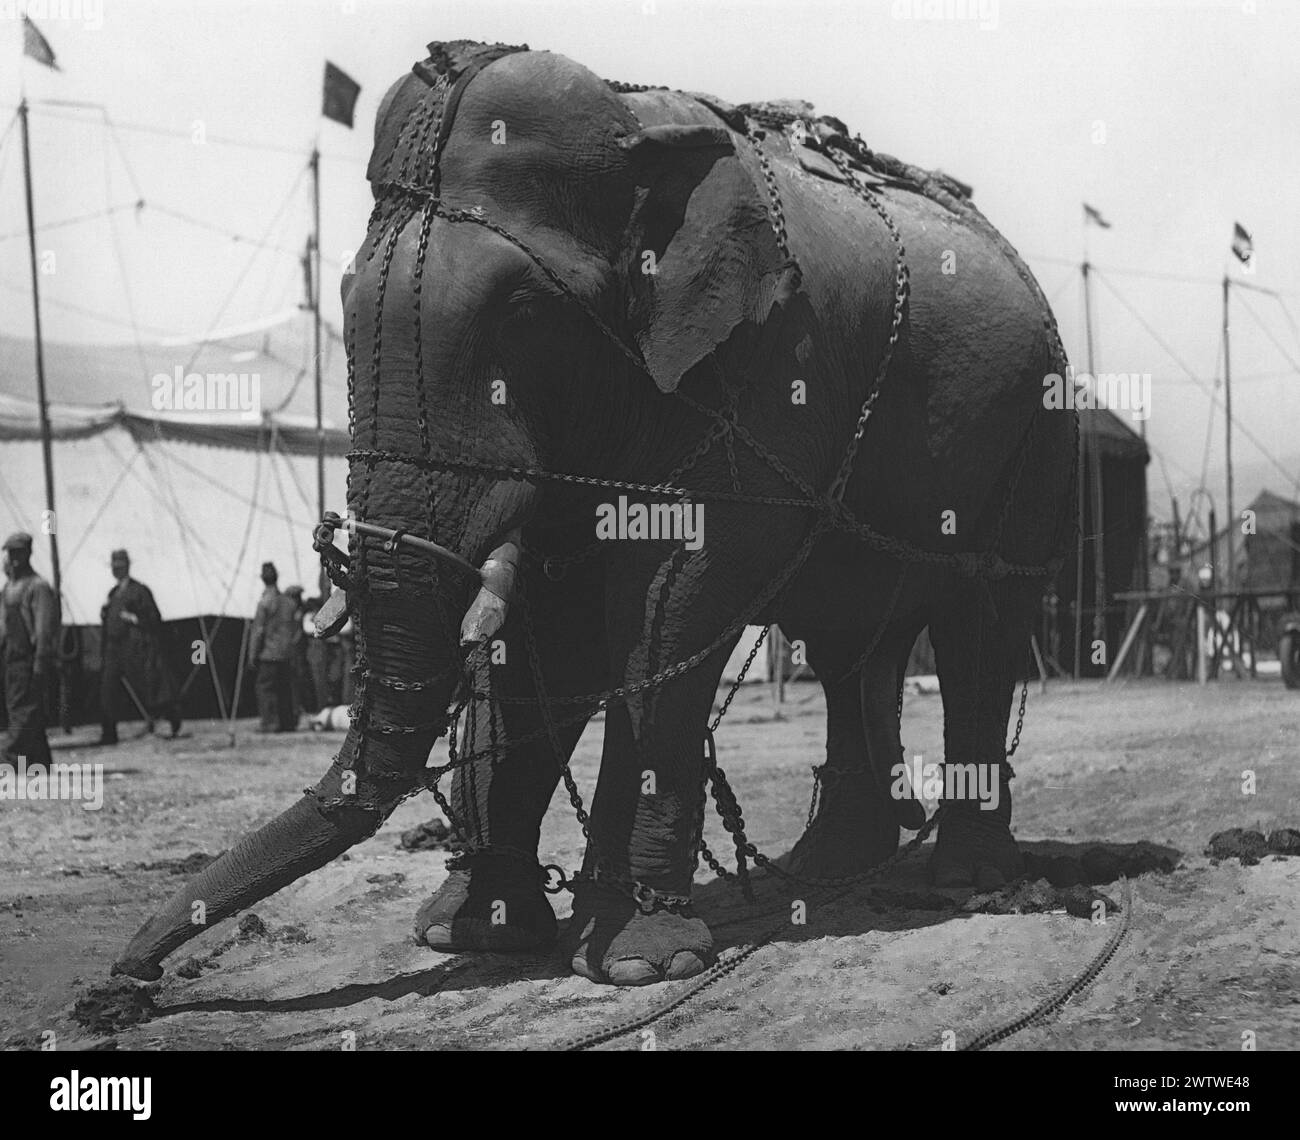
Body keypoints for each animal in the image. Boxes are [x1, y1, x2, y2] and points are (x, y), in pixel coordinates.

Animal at [111, 39, 1071, 987]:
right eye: (344, 300)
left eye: (525, 310)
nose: (130, 978)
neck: (638, 132)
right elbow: (549, 622)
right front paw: (473, 933)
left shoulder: (767, 373)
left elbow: (676, 596)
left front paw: (636, 963)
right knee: (849, 643)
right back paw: (831, 865)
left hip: (1035, 430)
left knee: (980, 621)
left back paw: (965, 879)